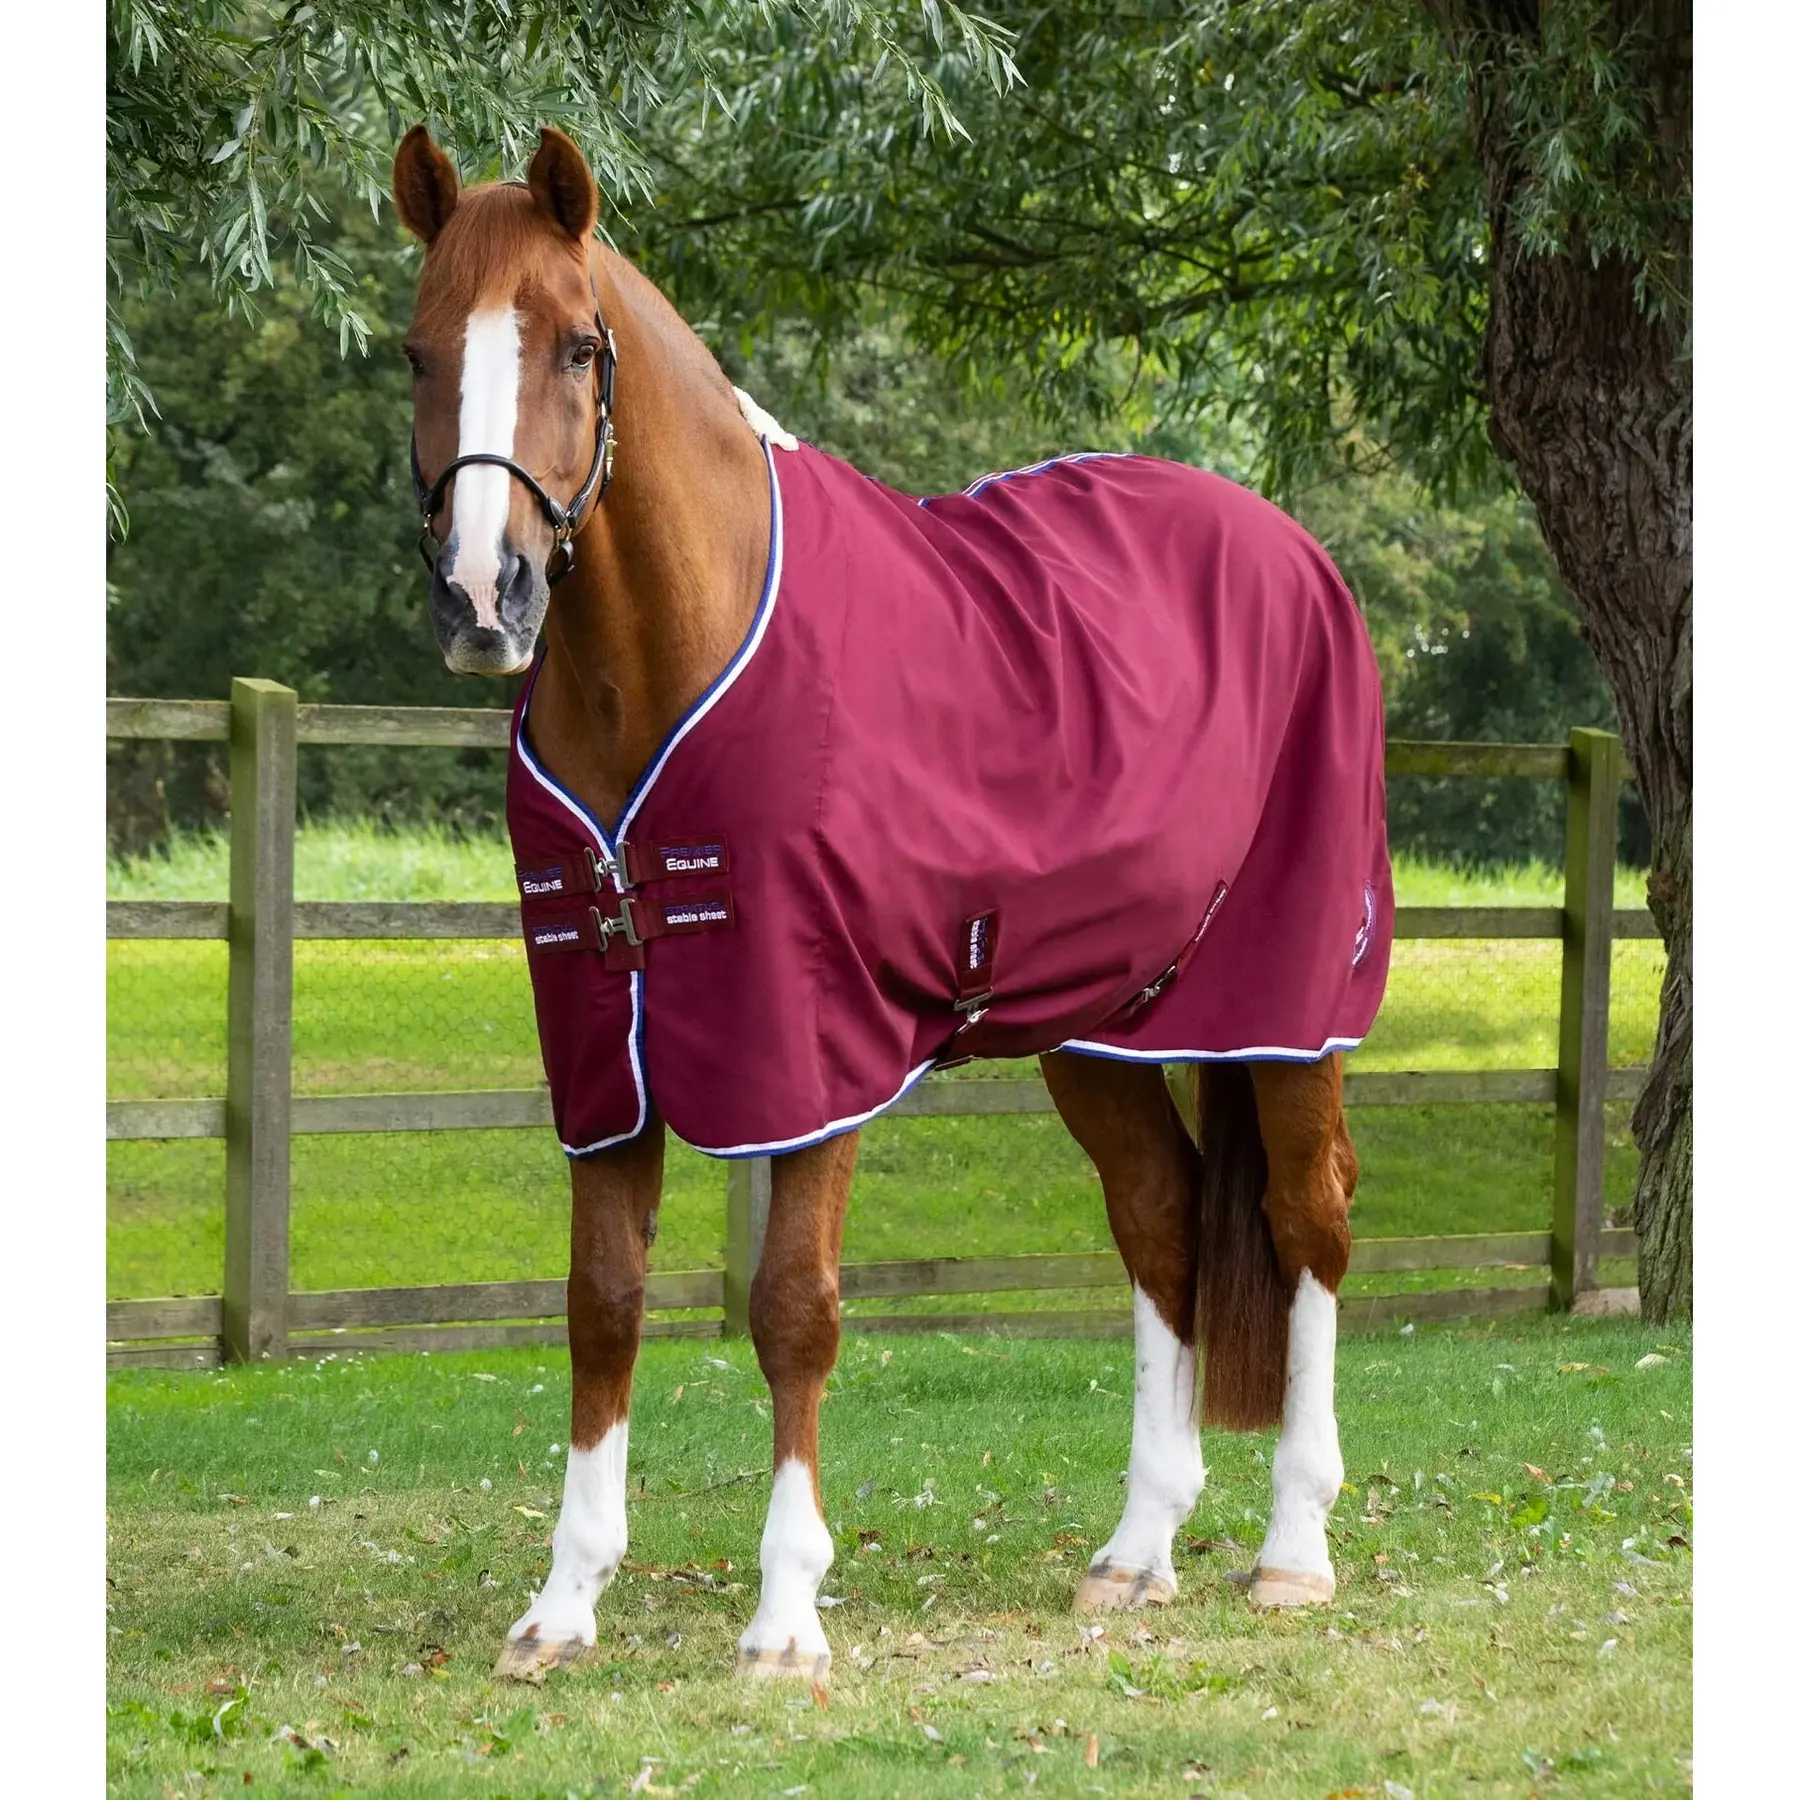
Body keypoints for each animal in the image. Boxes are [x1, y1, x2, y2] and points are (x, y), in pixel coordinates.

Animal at [391, 124, 1391, 1683]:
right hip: (1094, 1029)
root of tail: (1292, 552)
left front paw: (786, 1617)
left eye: (575, 346)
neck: (672, 654)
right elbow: (601, 1306)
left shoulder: (809, 1049)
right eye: (420, 351)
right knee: (1162, 1220)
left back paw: (1293, 1551)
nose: (482, 600)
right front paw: (563, 1608)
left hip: (1288, 1015)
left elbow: (792, 1311)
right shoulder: (603, 1051)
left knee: (1307, 1221)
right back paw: (1138, 1551)